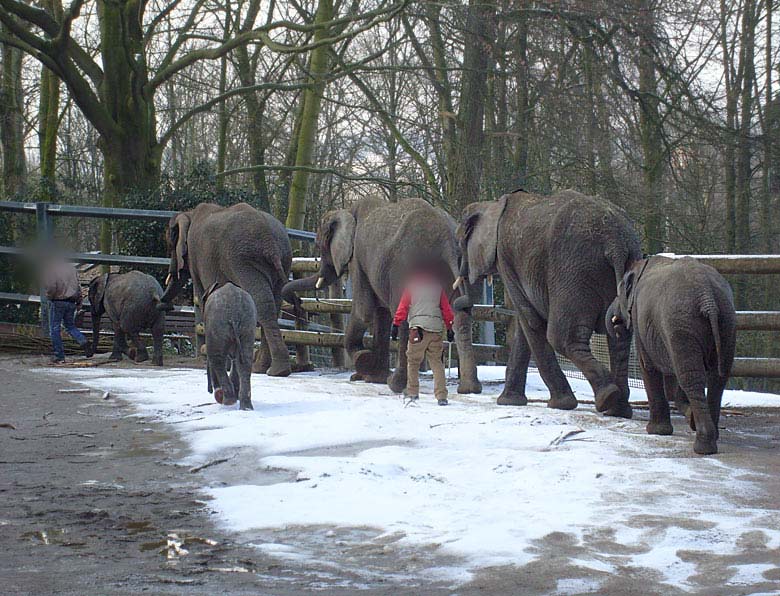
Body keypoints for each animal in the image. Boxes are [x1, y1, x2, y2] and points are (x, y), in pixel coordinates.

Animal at [158, 203, 292, 374]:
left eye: (170, 245)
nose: (165, 305)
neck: (189, 213)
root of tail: (270, 244)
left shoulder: (196, 259)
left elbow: (205, 297)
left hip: (243, 261)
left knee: (262, 305)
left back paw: (276, 371)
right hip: (283, 259)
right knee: (274, 304)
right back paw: (263, 369)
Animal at [203, 282, 258, 412]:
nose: (209, 390)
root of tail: (234, 314)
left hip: (217, 324)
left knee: (216, 358)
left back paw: (227, 400)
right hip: (248, 324)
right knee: (245, 361)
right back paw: (246, 407)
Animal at [280, 197, 482, 396]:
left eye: (318, 245)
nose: (298, 302)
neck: (348, 211)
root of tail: (445, 238)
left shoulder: (357, 259)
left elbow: (363, 311)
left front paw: (364, 361)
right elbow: (381, 315)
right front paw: (375, 378)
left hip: (408, 267)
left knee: (406, 316)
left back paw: (397, 384)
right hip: (459, 265)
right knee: (460, 315)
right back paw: (468, 389)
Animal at [450, 189, 640, 416]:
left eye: (459, 243)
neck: (492, 204)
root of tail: (615, 243)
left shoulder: (506, 260)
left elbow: (531, 321)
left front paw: (560, 404)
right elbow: (524, 329)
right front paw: (509, 402)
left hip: (573, 272)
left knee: (561, 337)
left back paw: (607, 397)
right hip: (626, 263)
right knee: (620, 337)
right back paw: (618, 409)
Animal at [608, 256, 736, 456]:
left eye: (619, 293)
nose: (617, 326)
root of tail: (708, 298)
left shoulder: (639, 318)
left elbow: (648, 366)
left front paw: (656, 431)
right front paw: (689, 418)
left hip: (681, 324)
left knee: (692, 378)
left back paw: (703, 447)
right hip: (726, 322)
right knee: (717, 378)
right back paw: (710, 435)